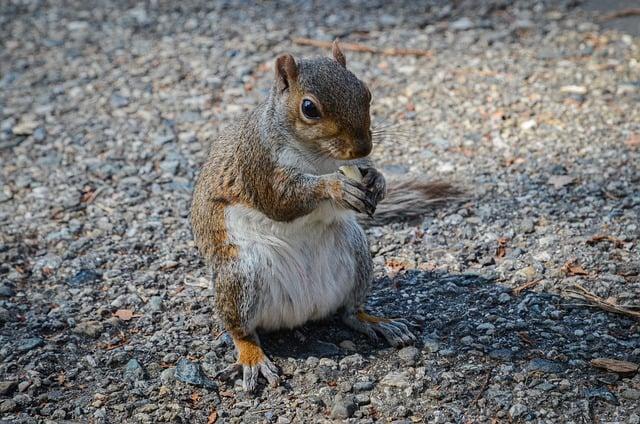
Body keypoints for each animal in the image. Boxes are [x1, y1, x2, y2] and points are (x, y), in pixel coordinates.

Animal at [190, 40, 456, 390]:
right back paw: (252, 356)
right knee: (241, 330)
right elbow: (279, 201)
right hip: (239, 274)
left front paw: (378, 180)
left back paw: (375, 321)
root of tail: (303, 312)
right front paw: (334, 187)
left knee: (348, 312)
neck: (319, 156)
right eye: (309, 108)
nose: (362, 148)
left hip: (357, 254)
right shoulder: (259, 163)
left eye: (366, 92)